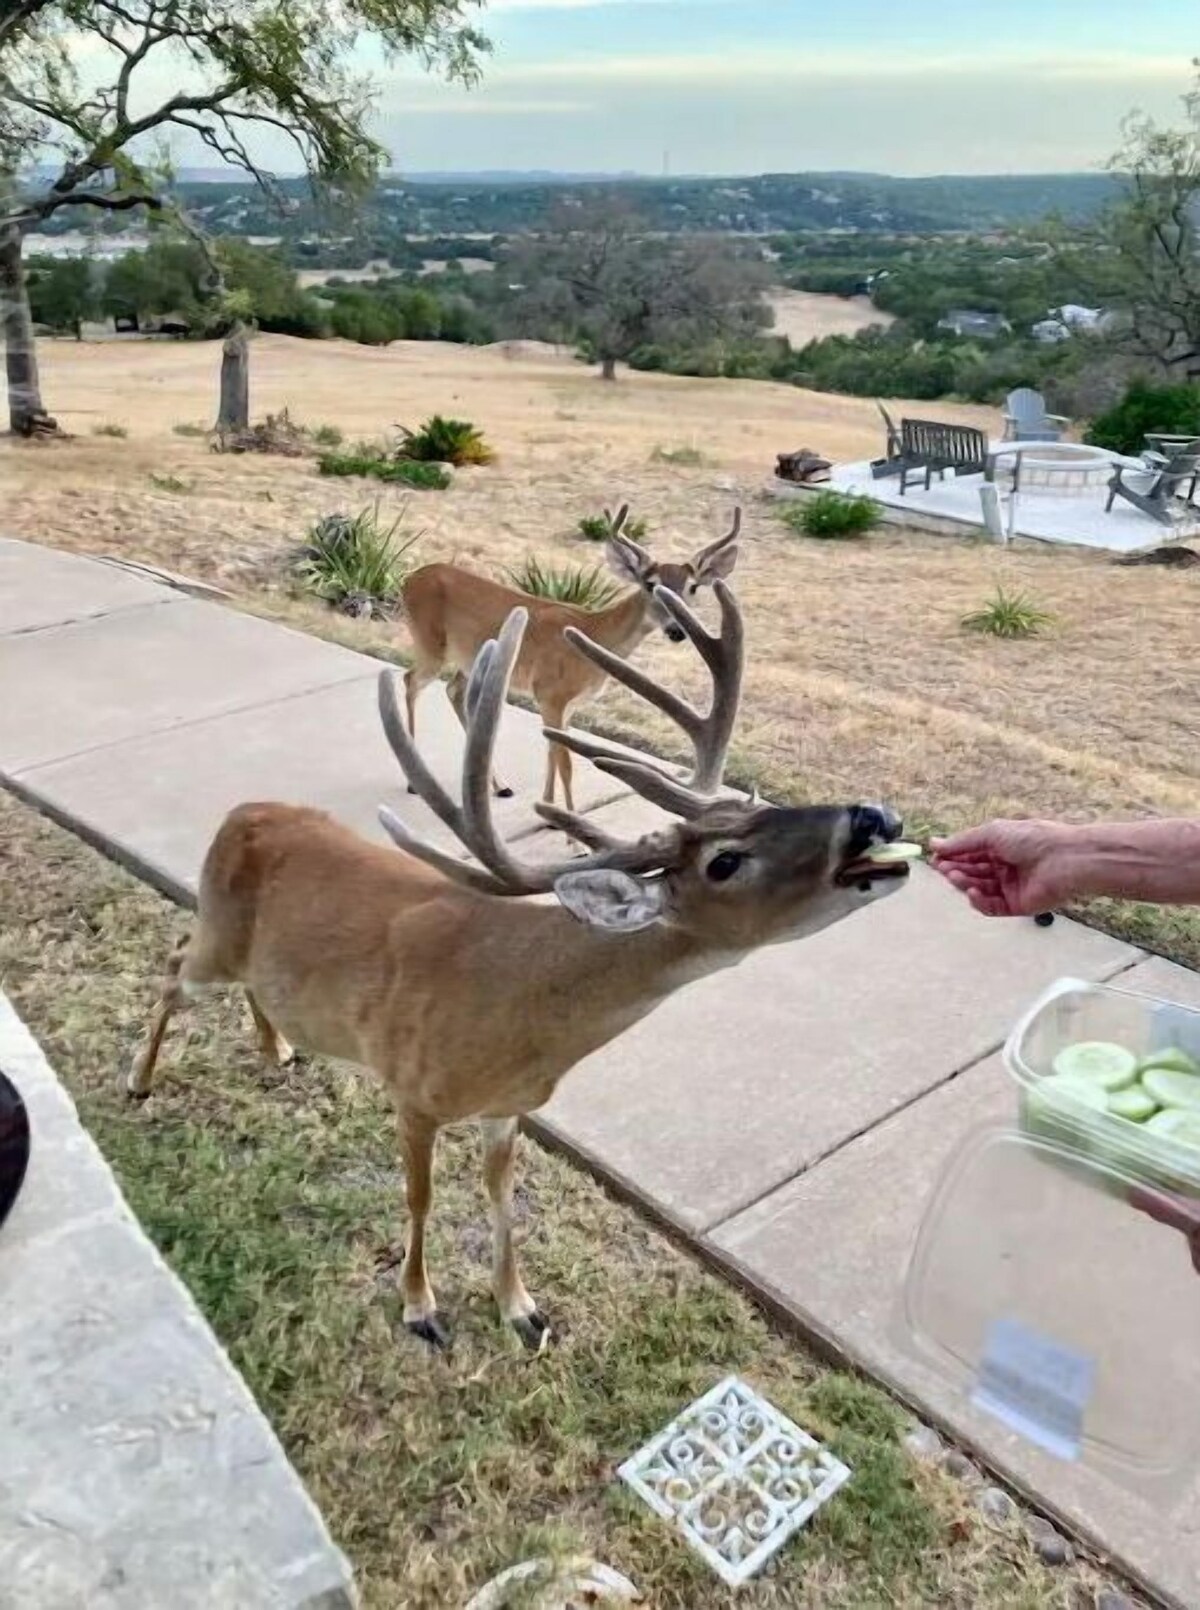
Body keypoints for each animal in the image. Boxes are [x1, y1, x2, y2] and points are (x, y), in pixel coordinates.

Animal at [126, 579, 908, 1345]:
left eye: (761, 807)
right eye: (724, 861)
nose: (875, 818)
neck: (518, 1008)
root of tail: (240, 812)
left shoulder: (511, 1110)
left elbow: (502, 1197)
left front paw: (522, 1309)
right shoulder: (411, 1088)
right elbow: (421, 1196)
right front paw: (420, 1307)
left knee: (242, 984)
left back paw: (279, 1048)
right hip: (215, 938)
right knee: (173, 963)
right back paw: (139, 1082)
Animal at [402, 505, 740, 811]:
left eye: (692, 587)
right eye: (651, 584)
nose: (676, 630)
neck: (594, 632)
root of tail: (409, 579)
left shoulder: (568, 705)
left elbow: (554, 751)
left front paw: (549, 808)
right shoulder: (550, 693)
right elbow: (565, 763)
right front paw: (569, 827)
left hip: (468, 660)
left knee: (453, 691)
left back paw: (499, 785)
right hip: (430, 643)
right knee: (410, 681)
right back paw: (413, 781)